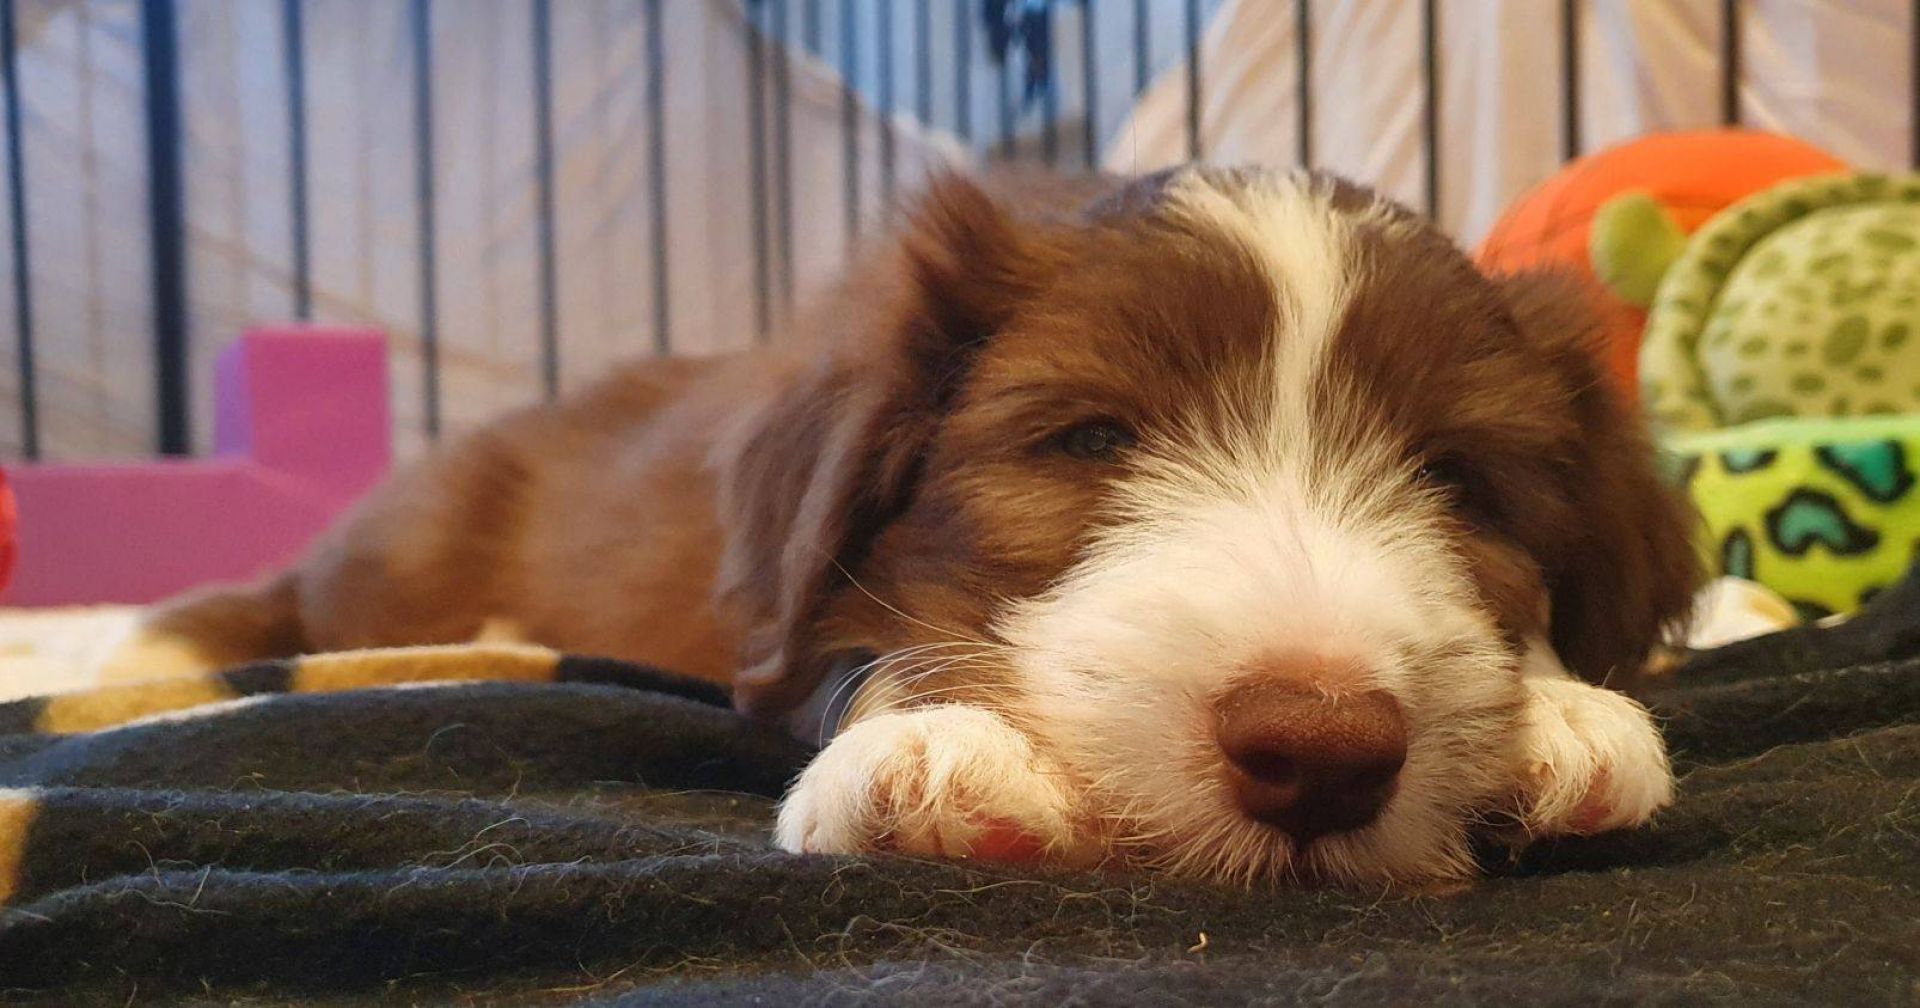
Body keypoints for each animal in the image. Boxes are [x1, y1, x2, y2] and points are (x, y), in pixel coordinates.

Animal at [114, 165, 1700, 886]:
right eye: (1091, 440)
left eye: (1459, 483)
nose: (1322, 751)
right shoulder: (779, 622)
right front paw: (931, 746)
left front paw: (1567, 715)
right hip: (403, 554)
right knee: (282, 602)